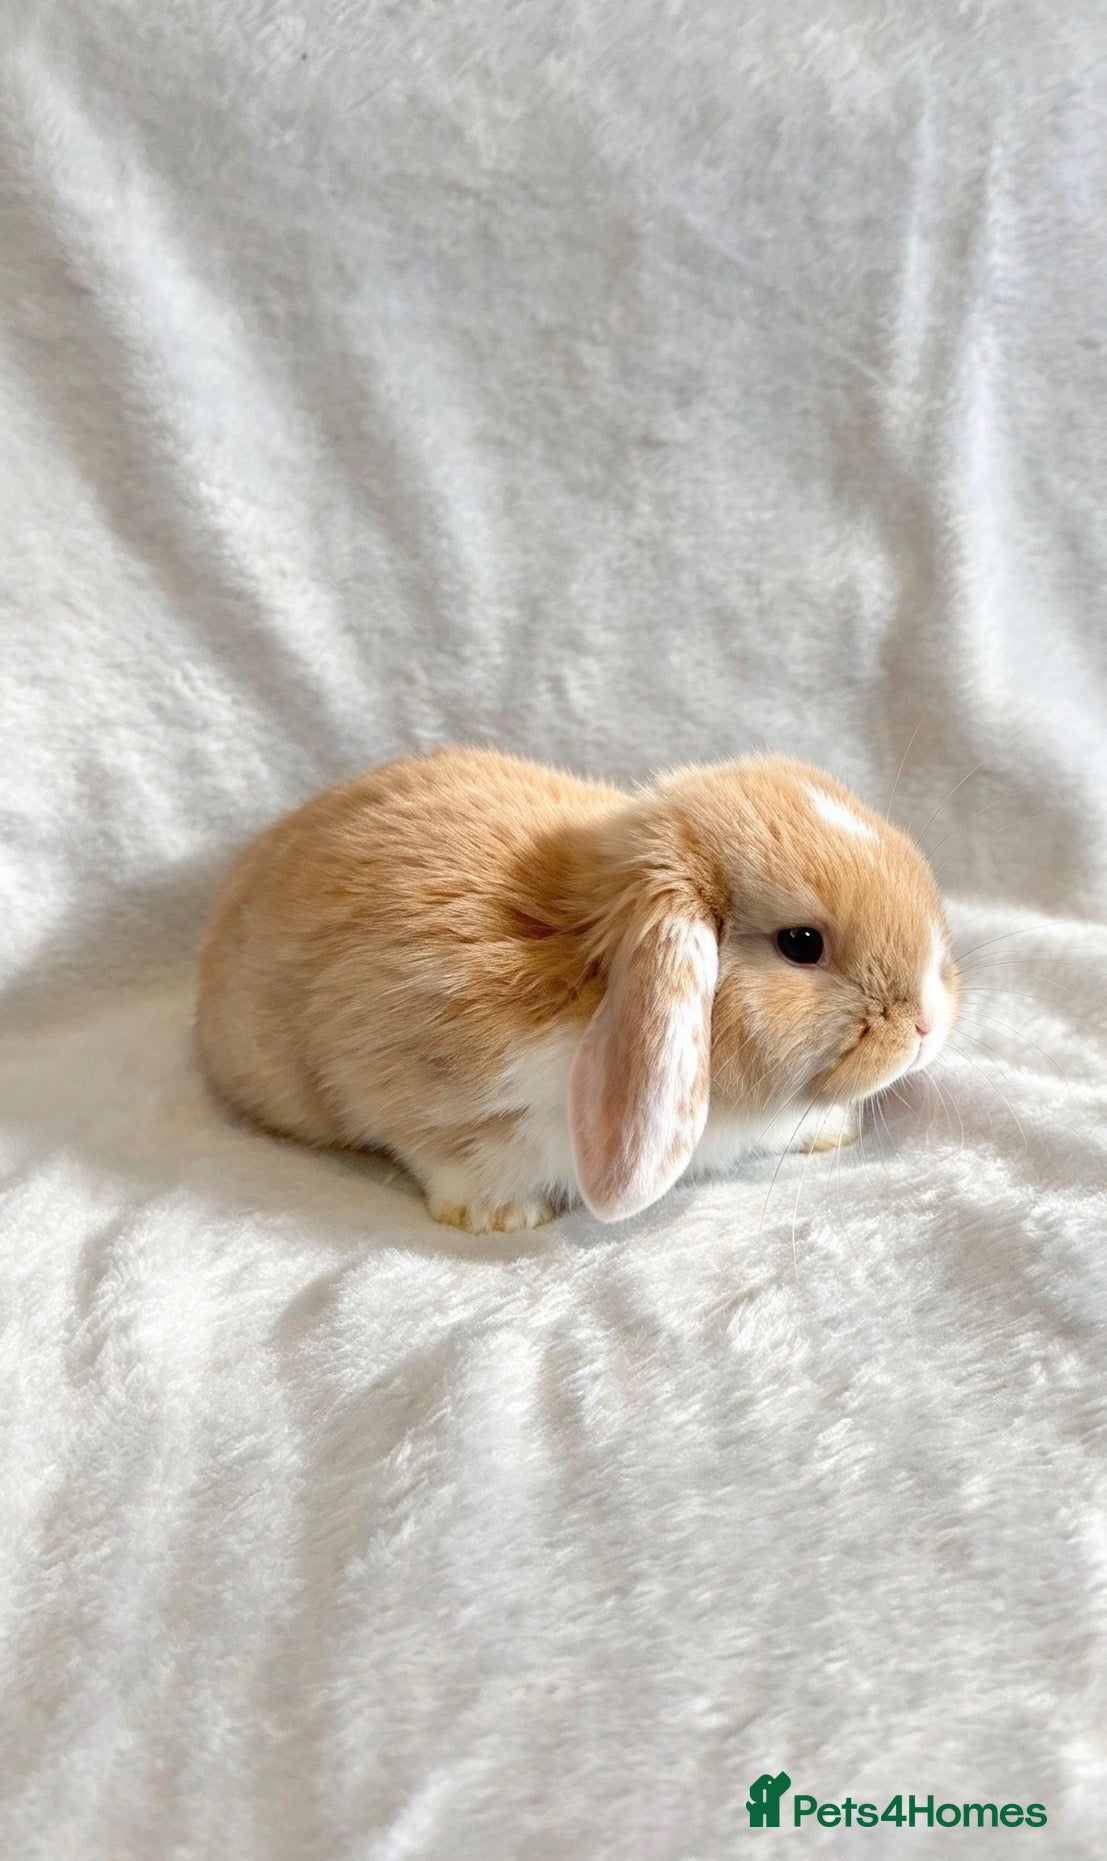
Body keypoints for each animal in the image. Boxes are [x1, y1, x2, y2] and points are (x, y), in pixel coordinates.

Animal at [197, 746, 958, 1232]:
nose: (927, 1023)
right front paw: (501, 1216)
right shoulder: (416, 1080)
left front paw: (832, 1132)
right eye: (801, 943)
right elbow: (446, 1151)